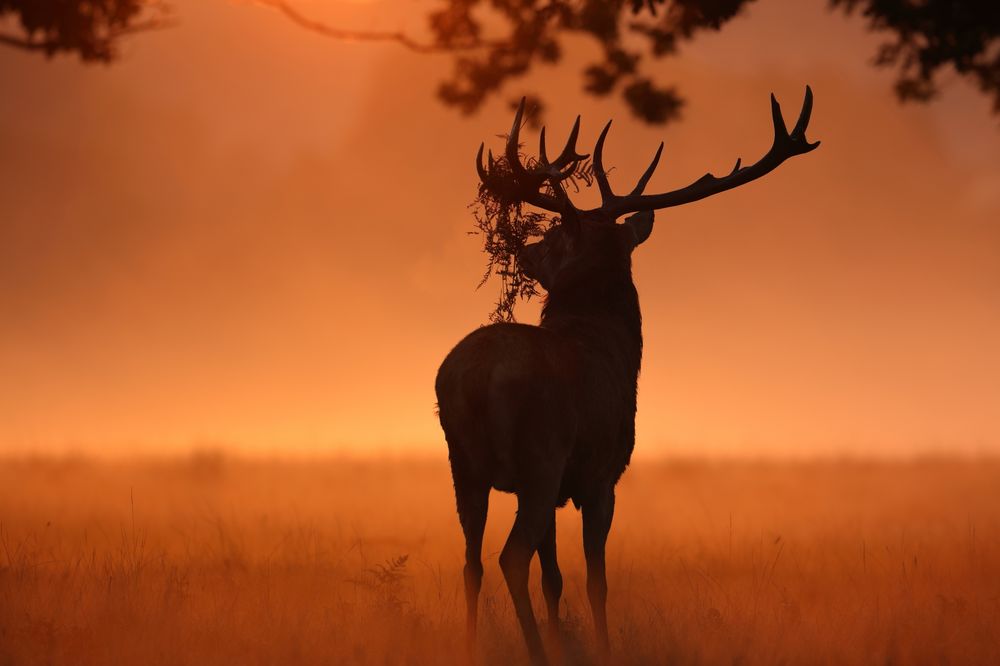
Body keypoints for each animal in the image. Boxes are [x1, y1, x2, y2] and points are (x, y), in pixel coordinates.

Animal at [435, 87, 819, 665]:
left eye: (552, 238)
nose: (523, 249)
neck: (614, 347)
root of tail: (476, 378)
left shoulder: (562, 486)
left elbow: (555, 579)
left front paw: (565, 638)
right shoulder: (602, 475)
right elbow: (597, 580)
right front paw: (599, 646)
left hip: (463, 465)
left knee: (472, 562)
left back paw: (469, 647)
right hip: (539, 456)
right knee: (509, 557)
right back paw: (535, 654)